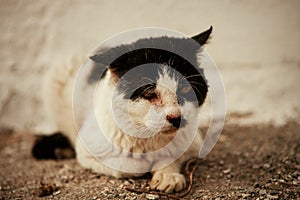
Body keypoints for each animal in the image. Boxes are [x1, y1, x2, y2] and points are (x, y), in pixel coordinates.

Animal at [32, 26, 211, 192]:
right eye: (150, 94)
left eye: (186, 90)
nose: (175, 117)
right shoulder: (87, 150)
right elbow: (129, 166)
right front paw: (147, 165)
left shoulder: (194, 144)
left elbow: (173, 155)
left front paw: (168, 175)